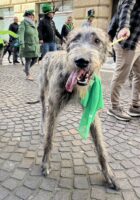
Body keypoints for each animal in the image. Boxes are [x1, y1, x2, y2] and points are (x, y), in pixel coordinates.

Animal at [39, 27, 119, 190]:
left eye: (97, 40)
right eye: (75, 39)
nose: (81, 61)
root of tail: (50, 52)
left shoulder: (92, 110)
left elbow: (100, 146)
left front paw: (109, 175)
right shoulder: (54, 105)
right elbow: (49, 139)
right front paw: (45, 164)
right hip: (43, 91)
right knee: (44, 110)